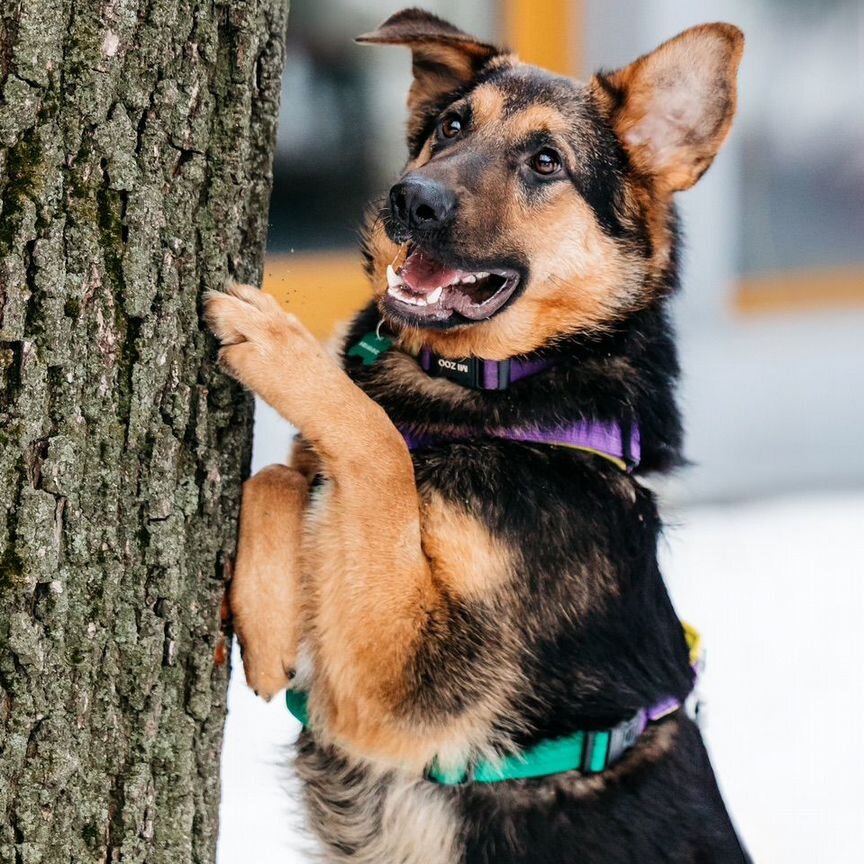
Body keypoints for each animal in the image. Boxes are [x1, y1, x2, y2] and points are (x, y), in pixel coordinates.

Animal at [204, 8, 748, 864]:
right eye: (453, 125)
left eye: (546, 161)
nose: (410, 199)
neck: (509, 395)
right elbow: (289, 473)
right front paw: (266, 624)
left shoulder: (407, 689)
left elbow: (375, 449)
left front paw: (281, 342)